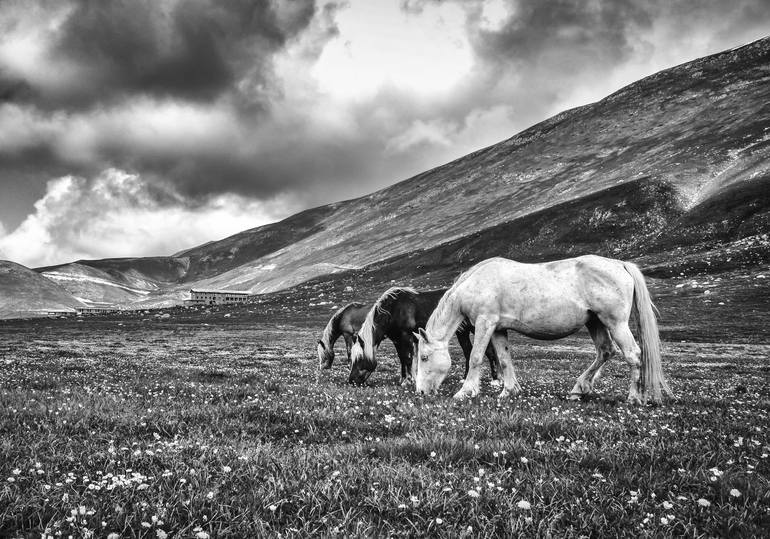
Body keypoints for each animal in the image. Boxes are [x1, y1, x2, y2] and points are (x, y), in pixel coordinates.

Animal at [346, 288, 498, 386]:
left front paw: (410, 380)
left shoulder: (405, 336)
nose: (351, 381)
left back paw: (495, 380)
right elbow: (402, 359)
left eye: (359, 358)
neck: (393, 310)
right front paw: (404, 380)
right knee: (470, 352)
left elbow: (408, 359)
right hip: (463, 332)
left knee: (485, 352)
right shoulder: (397, 340)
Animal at [414, 258, 672, 404]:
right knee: (605, 351)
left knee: (633, 355)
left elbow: (476, 357)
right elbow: (504, 359)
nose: (421, 392)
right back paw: (578, 390)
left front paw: (465, 391)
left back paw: (634, 397)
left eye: (424, 357)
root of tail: (620, 265)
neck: (476, 283)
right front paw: (509, 391)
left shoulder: (485, 323)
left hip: (615, 323)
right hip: (595, 322)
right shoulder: (498, 329)